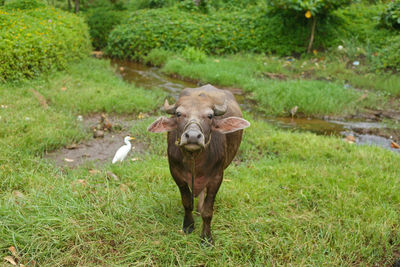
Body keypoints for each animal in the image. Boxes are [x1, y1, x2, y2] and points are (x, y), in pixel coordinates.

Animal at [147, 84, 248, 245]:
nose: (193, 136)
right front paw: (188, 226)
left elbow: (208, 211)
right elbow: (187, 202)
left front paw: (206, 237)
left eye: (210, 116)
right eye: (178, 114)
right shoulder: (176, 174)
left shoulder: (217, 178)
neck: (194, 159)